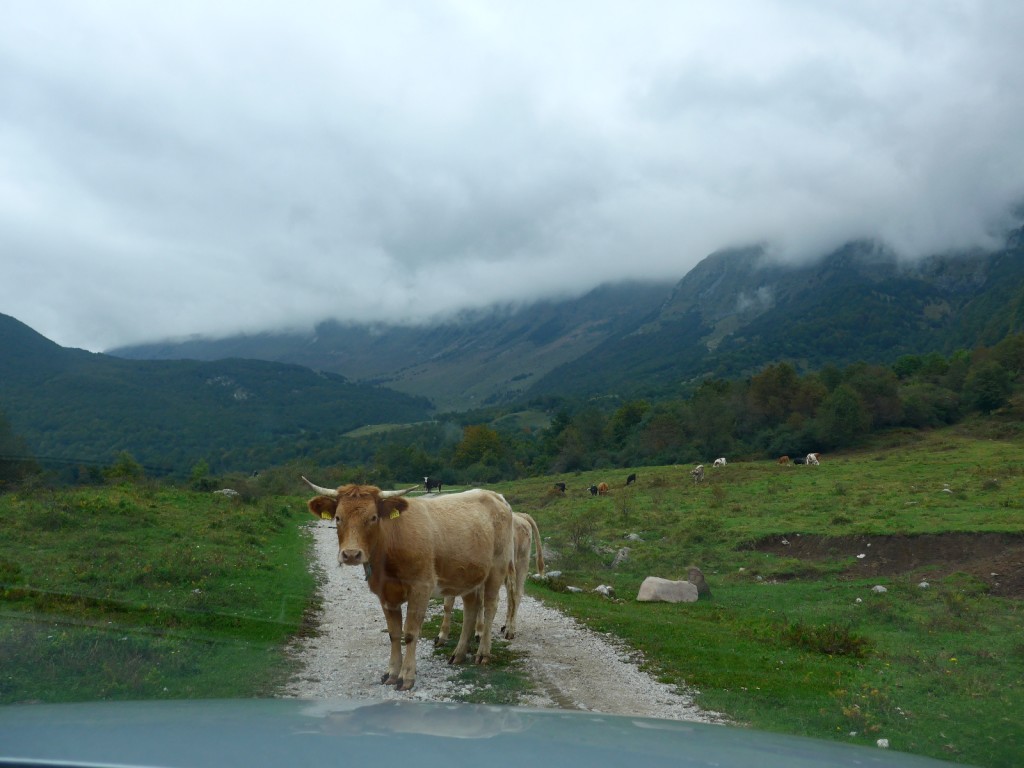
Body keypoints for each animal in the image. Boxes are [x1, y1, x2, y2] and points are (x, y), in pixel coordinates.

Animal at [301, 479, 512, 696]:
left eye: (373, 517)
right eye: (338, 517)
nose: (351, 554)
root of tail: (494, 495)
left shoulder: (421, 588)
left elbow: (410, 633)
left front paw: (406, 677)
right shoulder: (385, 594)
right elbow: (394, 634)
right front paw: (392, 673)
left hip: (497, 568)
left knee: (490, 607)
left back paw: (483, 653)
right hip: (469, 575)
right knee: (471, 608)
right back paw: (459, 654)